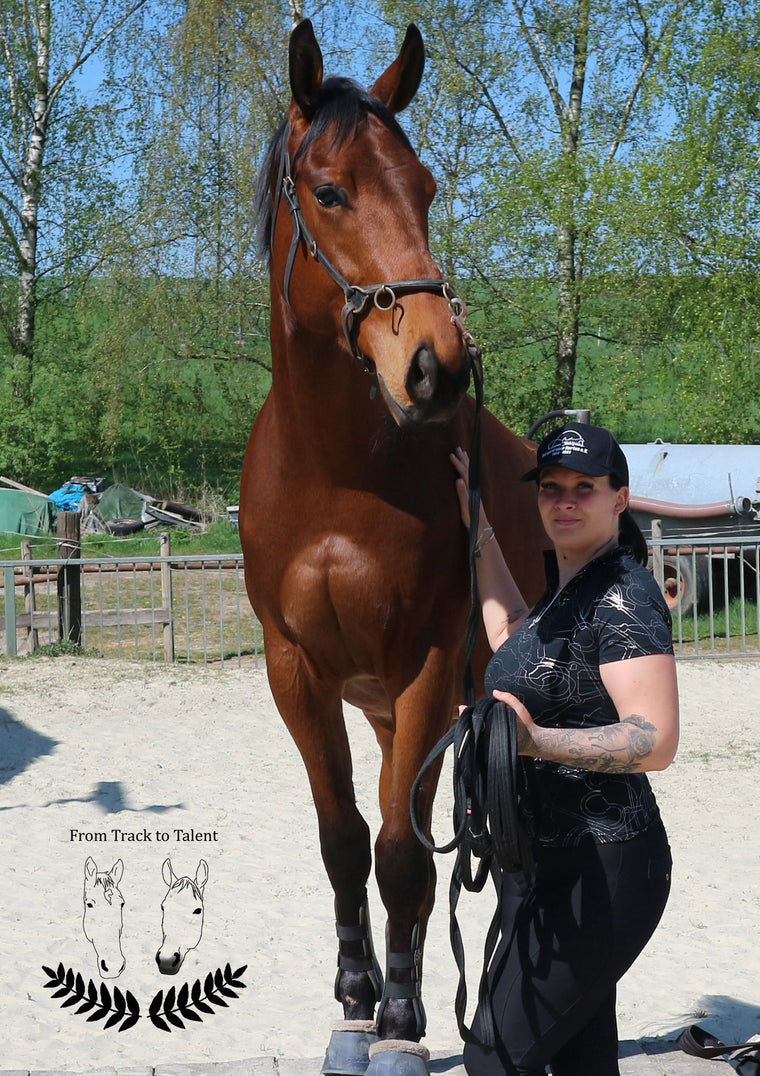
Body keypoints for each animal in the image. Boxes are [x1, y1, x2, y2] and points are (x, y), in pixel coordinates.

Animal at [240, 19, 548, 1073]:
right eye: (331, 192)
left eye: (425, 188)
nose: (438, 368)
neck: (338, 478)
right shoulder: (295, 670)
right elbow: (346, 839)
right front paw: (355, 997)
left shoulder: (423, 662)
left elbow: (405, 853)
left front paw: (406, 1022)